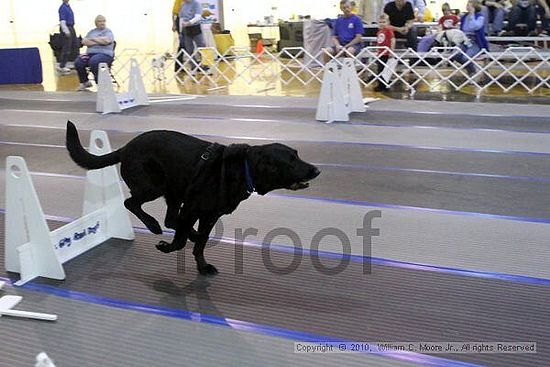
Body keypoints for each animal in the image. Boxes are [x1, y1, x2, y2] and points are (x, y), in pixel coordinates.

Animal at [66, 121, 322, 276]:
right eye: (290, 161)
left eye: (297, 154)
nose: (317, 170)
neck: (243, 169)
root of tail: (125, 148)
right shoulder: (192, 209)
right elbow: (180, 240)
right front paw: (168, 246)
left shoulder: (209, 215)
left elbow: (200, 243)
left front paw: (203, 266)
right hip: (154, 187)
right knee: (132, 204)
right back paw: (153, 225)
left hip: (174, 191)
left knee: (171, 219)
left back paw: (183, 231)